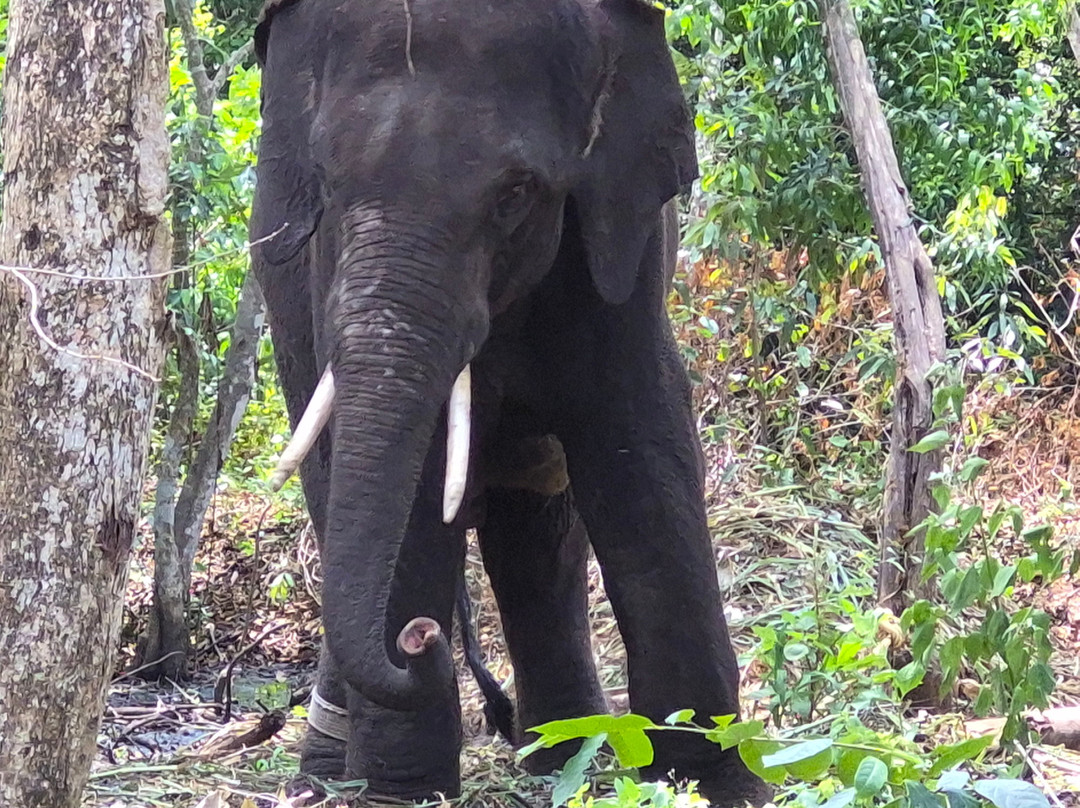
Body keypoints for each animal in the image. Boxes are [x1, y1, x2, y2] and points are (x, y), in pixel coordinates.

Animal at [249, 0, 771, 804]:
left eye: (515, 194)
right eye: (327, 181)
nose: (421, 638)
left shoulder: (618, 236)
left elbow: (642, 450)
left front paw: (712, 782)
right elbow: (416, 484)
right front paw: (403, 795)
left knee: (541, 529)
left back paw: (563, 757)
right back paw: (332, 772)